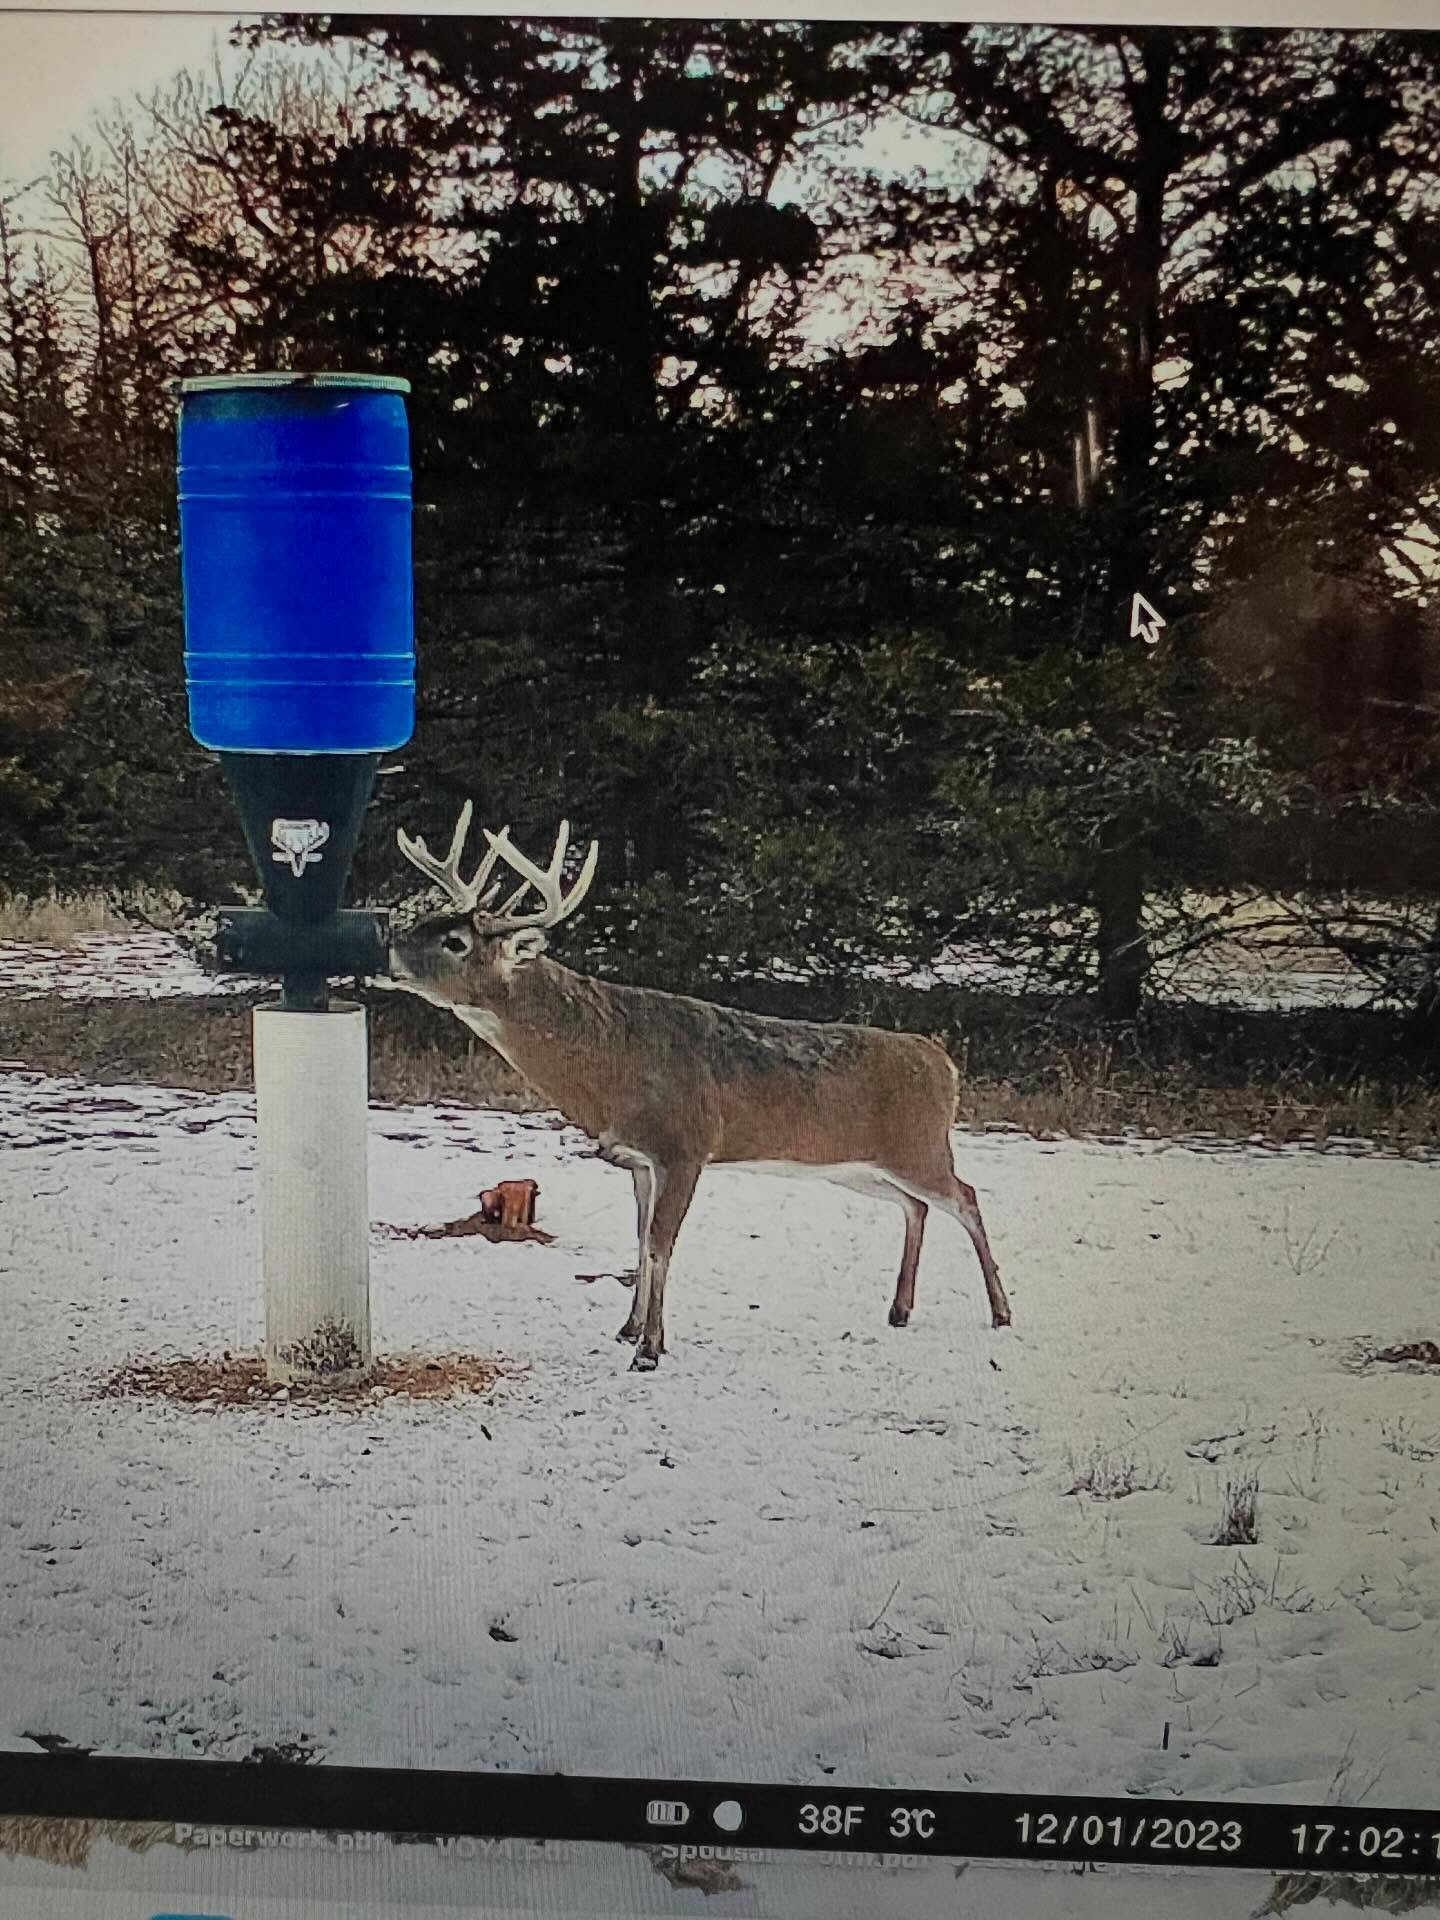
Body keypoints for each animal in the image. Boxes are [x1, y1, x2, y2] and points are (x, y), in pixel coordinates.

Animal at [387, 805, 1012, 1370]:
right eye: (427, 922)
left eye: (455, 941)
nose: (389, 948)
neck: (611, 1068)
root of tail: (944, 1063)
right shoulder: (638, 1159)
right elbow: (639, 1241)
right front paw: (627, 1328)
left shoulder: (685, 1147)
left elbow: (661, 1245)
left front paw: (648, 1350)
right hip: (860, 1166)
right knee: (917, 1205)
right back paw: (900, 1310)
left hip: (918, 1144)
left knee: (966, 1196)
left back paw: (1001, 1312)